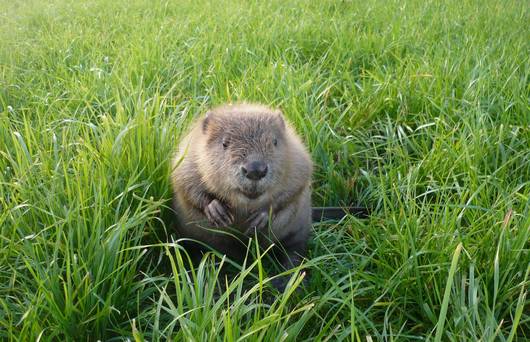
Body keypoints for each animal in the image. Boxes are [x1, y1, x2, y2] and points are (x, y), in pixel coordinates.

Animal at [169, 103, 312, 290]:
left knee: (293, 249)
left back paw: (286, 282)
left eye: (274, 142)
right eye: (224, 143)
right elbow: (185, 183)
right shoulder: (189, 156)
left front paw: (260, 218)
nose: (255, 170)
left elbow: (295, 186)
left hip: (296, 227)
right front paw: (217, 211)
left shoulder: (297, 157)